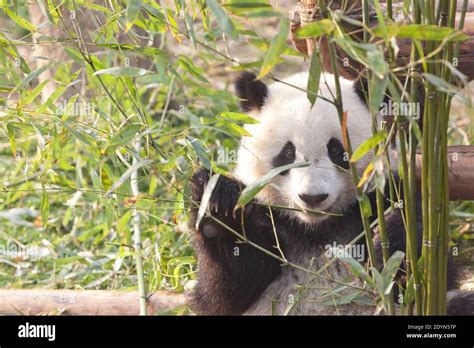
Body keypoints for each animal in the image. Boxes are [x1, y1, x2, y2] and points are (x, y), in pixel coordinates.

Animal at [188, 70, 470, 316]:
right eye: (288, 153)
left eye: (336, 150)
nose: (313, 197)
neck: (316, 227)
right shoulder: (271, 220)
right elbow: (226, 292)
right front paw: (219, 205)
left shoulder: (384, 195)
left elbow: (421, 271)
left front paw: (390, 236)